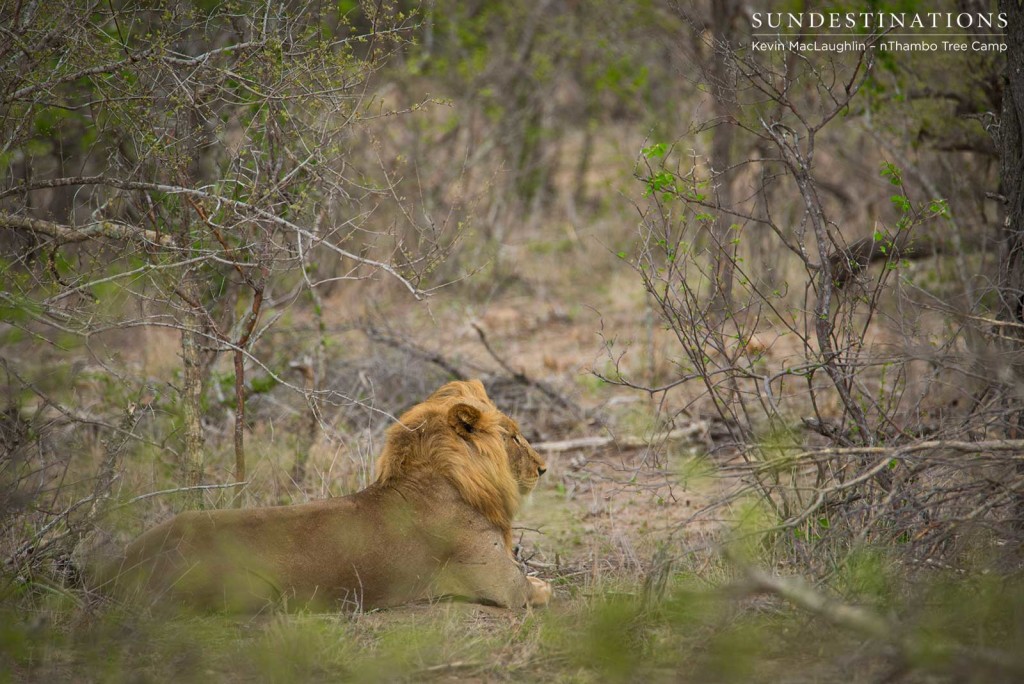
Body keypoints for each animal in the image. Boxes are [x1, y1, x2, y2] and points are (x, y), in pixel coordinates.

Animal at [96, 382, 552, 610]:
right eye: (514, 437)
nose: (544, 468)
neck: (446, 480)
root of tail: (113, 567)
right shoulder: (503, 586)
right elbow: (539, 589)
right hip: (253, 590)